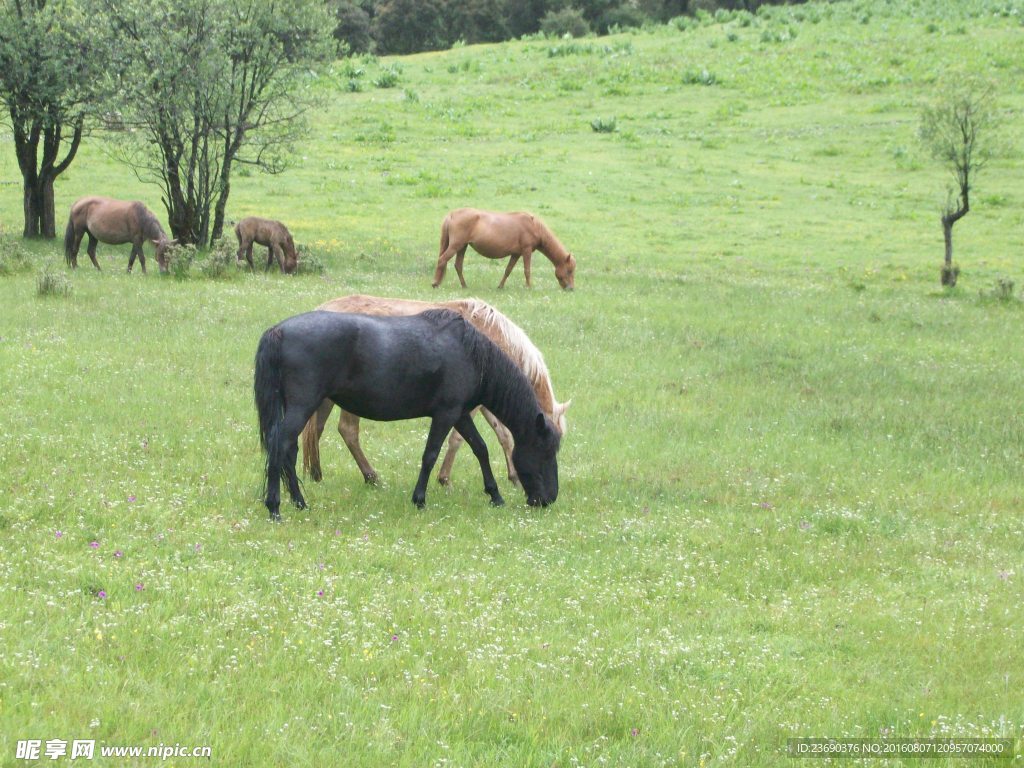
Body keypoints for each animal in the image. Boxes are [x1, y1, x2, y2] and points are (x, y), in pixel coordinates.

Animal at [253, 309, 561, 520]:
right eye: (544, 452)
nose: (548, 499)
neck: (469, 354)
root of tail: (279, 331)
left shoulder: (461, 414)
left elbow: (480, 449)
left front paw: (495, 495)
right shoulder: (446, 414)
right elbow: (430, 455)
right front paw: (420, 499)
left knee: (288, 451)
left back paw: (299, 502)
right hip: (303, 406)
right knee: (280, 446)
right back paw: (275, 508)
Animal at [299, 294, 573, 487]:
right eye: (549, 444)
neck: (489, 334)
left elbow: (503, 435)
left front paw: (513, 476)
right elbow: (458, 439)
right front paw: (444, 479)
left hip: (327, 399)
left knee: (315, 431)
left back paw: (316, 475)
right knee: (348, 431)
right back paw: (370, 476)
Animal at [432, 207, 577, 290]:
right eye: (569, 271)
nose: (571, 288)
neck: (534, 225)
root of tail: (452, 214)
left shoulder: (516, 254)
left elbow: (508, 270)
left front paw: (500, 286)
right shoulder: (526, 250)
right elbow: (527, 270)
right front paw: (529, 287)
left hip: (462, 247)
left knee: (458, 265)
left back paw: (464, 285)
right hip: (456, 246)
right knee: (442, 260)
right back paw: (435, 283)